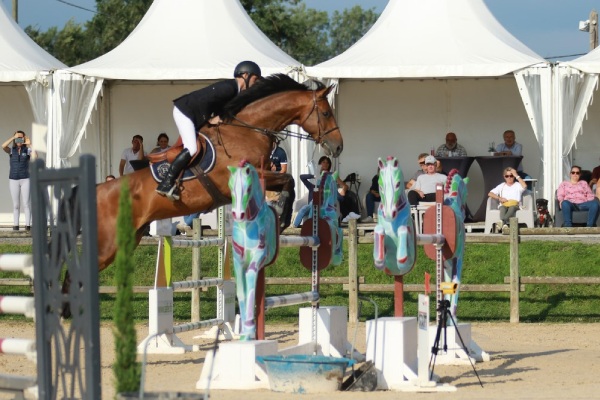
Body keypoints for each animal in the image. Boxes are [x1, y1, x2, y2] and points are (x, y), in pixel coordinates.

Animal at [229, 161, 278, 340]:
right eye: (230, 186)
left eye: (248, 188)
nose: (238, 215)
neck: (247, 224)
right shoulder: (237, 260)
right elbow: (241, 291)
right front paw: (244, 332)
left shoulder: (258, 257)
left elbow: (250, 286)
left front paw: (250, 331)